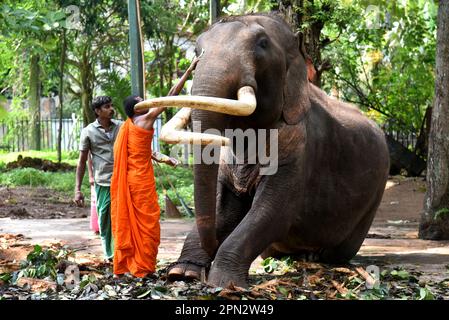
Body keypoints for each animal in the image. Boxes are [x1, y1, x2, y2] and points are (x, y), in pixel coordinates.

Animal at [136, 13, 388, 288]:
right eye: (195, 50)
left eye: (262, 44)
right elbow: (224, 209)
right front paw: (182, 273)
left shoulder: (300, 149)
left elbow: (272, 212)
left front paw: (224, 284)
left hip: (373, 198)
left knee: (338, 249)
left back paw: (314, 257)